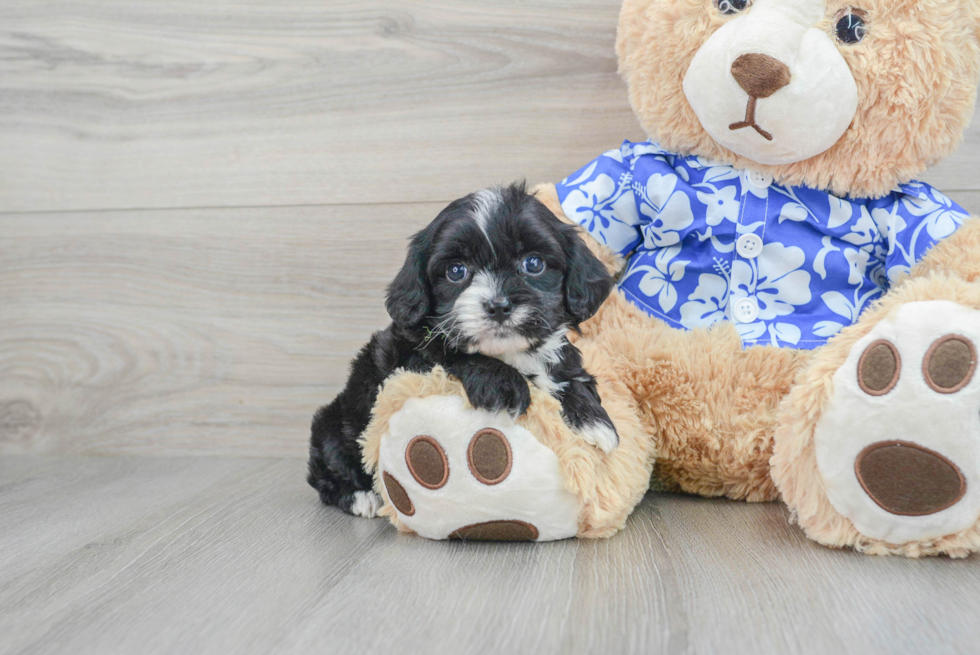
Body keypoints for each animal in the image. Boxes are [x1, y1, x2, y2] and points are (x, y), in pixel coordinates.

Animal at [306, 183, 616, 516]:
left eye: (534, 264)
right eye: (456, 271)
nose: (498, 305)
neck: (510, 353)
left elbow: (572, 378)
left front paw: (594, 419)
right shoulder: (408, 357)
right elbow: (451, 354)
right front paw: (504, 385)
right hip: (333, 426)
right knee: (326, 471)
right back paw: (360, 496)